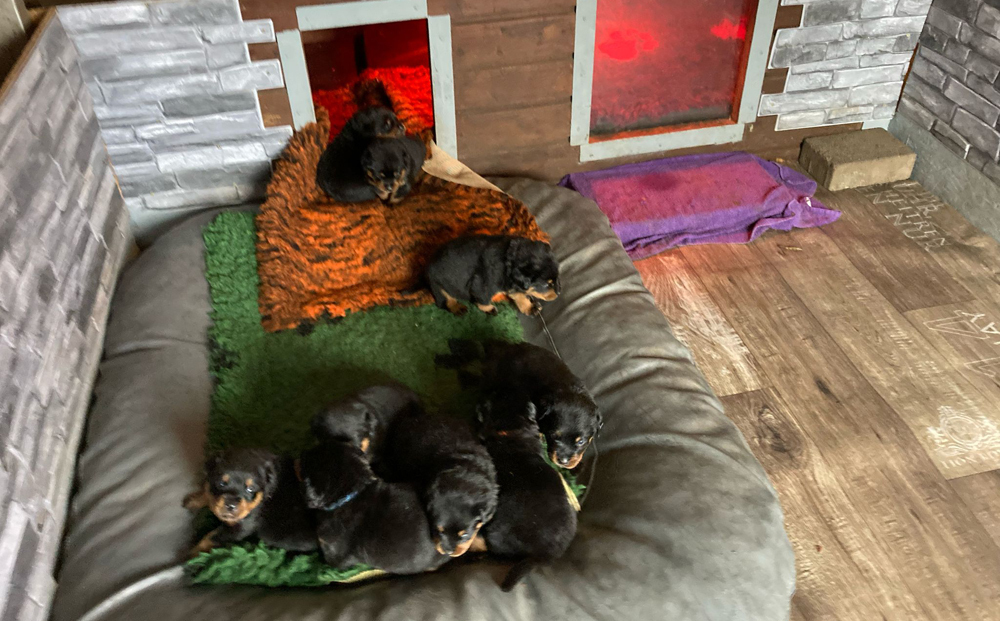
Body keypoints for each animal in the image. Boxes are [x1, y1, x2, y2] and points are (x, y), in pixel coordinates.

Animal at [183, 448, 317, 556]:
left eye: (250, 488)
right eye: (221, 483)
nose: (230, 505)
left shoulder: (240, 528)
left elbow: (211, 537)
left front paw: (193, 554)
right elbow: (207, 490)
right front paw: (194, 500)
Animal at [425, 235, 560, 316]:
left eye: (557, 278)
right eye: (546, 284)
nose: (559, 293)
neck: (509, 259)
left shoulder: (510, 282)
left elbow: (518, 294)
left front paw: (530, 307)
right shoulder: (481, 285)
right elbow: (482, 301)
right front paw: (488, 309)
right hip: (438, 286)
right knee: (446, 301)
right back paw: (458, 308)